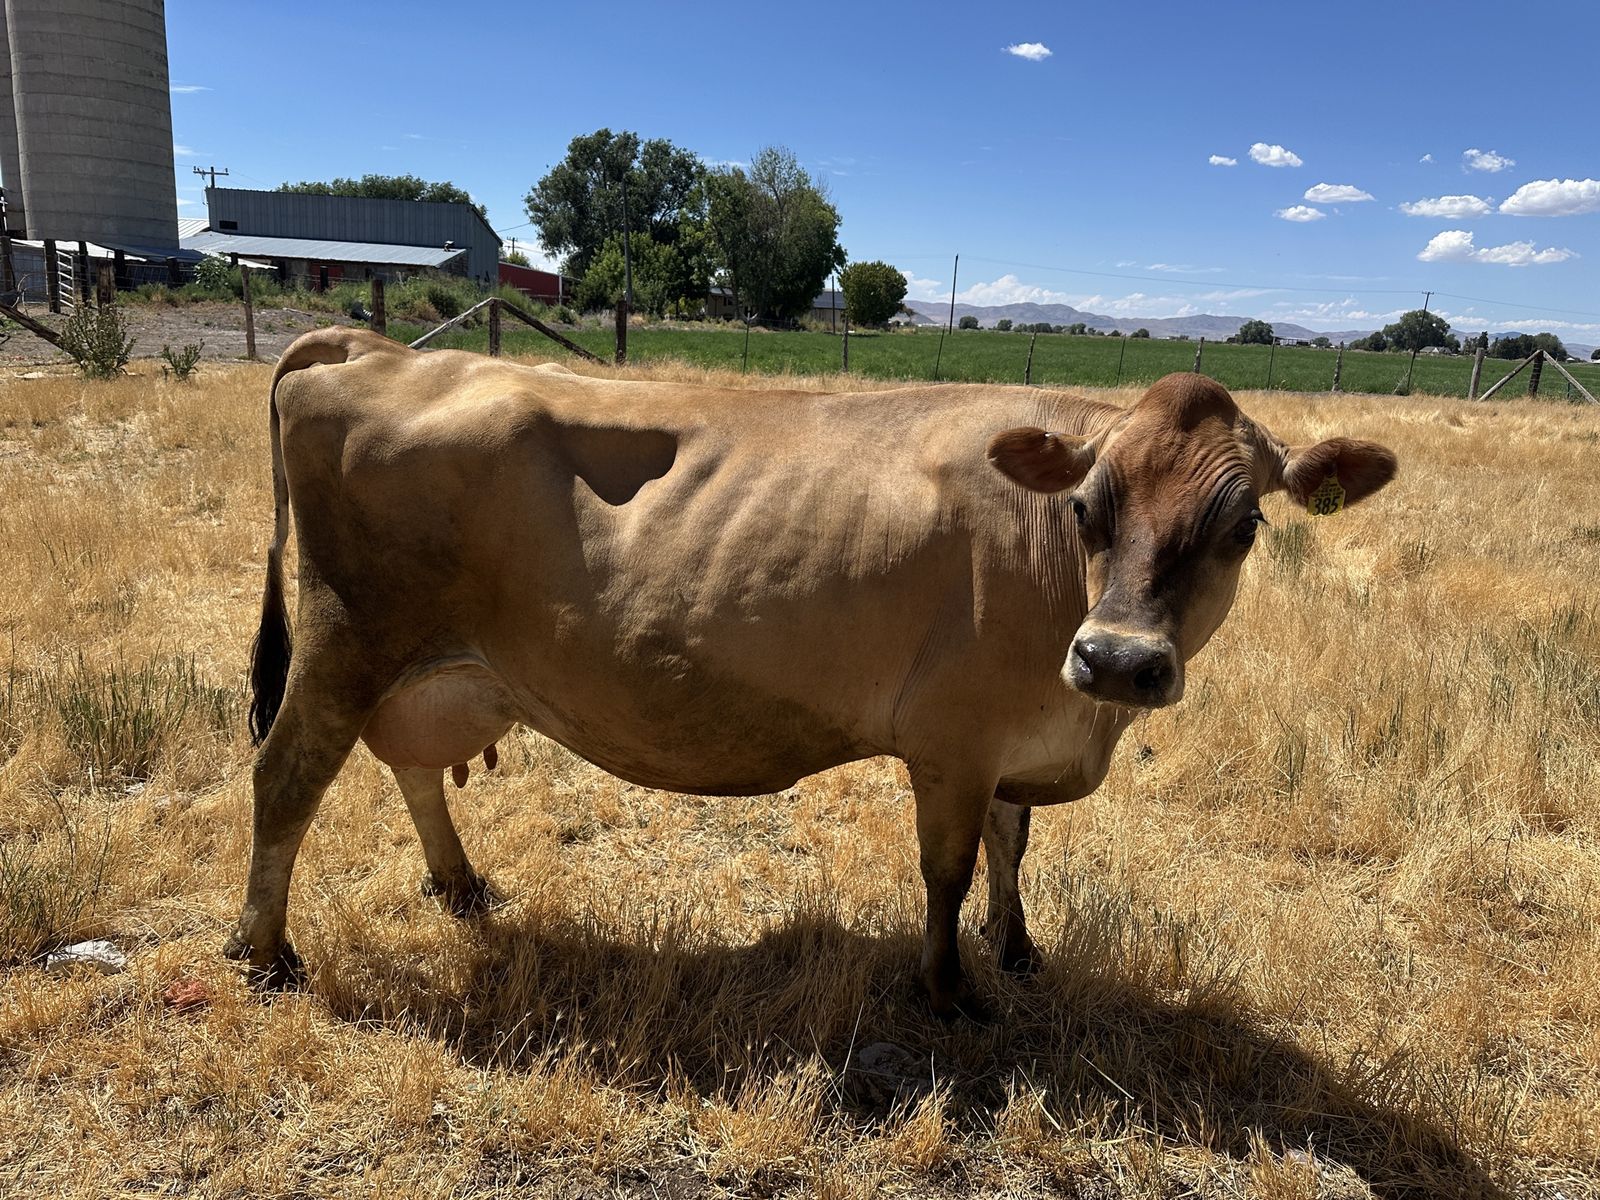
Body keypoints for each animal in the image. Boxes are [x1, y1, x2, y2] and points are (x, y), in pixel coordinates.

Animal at [226, 328, 1397, 1018]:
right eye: (1084, 508)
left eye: (1244, 525)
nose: (1115, 659)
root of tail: (373, 347)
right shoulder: (954, 740)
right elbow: (949, 867)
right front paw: (946, 990)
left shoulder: (1016, 736)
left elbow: (1015, 846)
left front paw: (1016, 948)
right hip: (345, 640)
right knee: (286, 779)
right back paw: (264, 952)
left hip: (427, 665)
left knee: (408, 763)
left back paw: (458, 883)